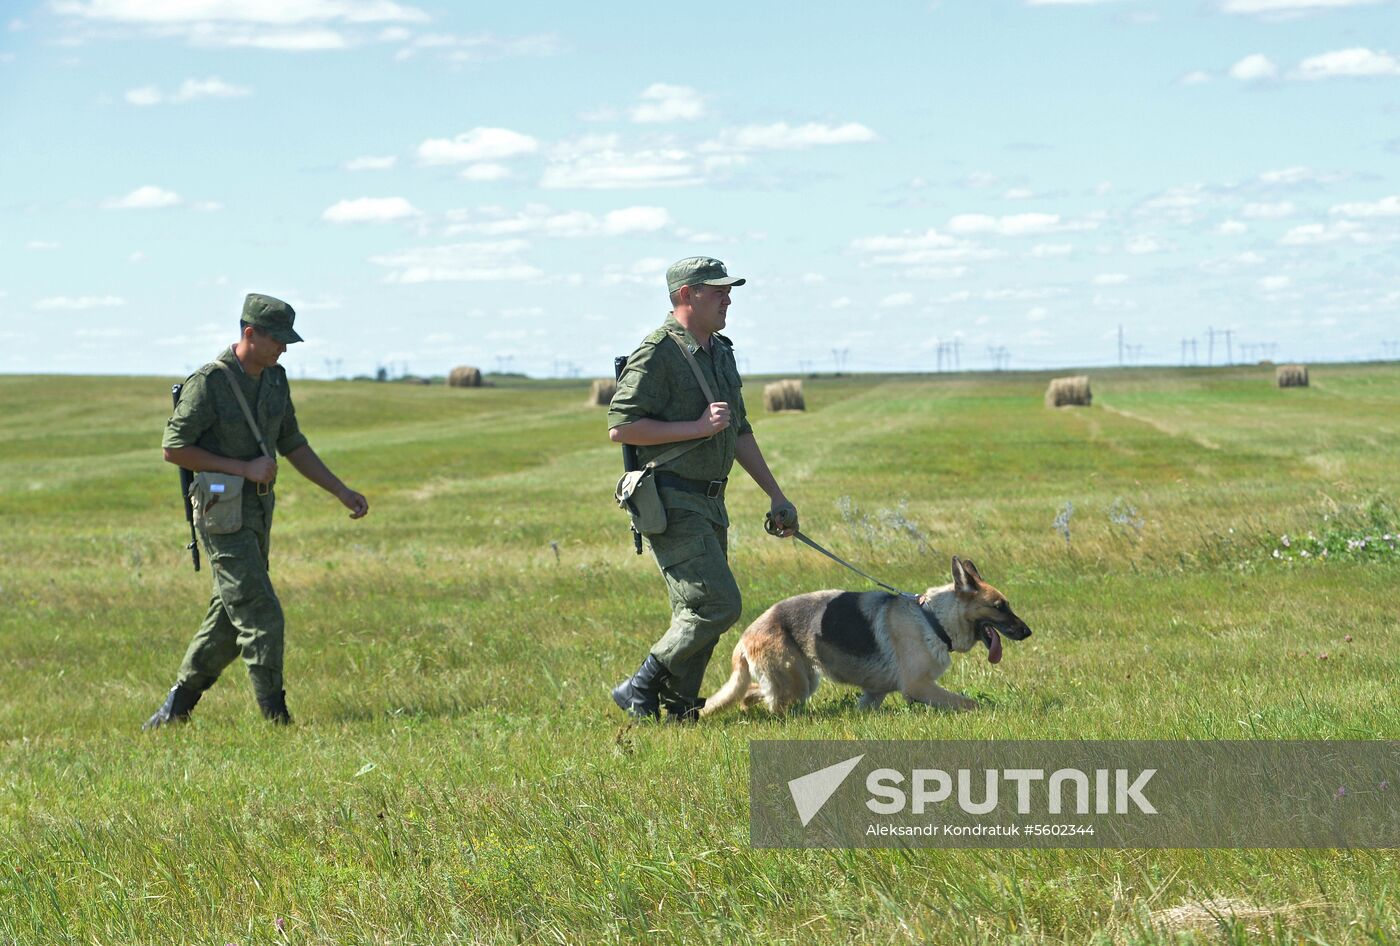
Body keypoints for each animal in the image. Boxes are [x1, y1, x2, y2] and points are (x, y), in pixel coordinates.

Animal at [700, 554, 1030, 716]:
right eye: (1000, 607)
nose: (1028, 632)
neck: (933, 620)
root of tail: (745, 636)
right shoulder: (918, 686)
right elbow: (970, 703)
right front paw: (992, 711)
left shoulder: (874, 693)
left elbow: (865, 707)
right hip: (796, 684)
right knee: (774, 704)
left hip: (800, 681)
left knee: (754, 694)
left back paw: (747, 708)